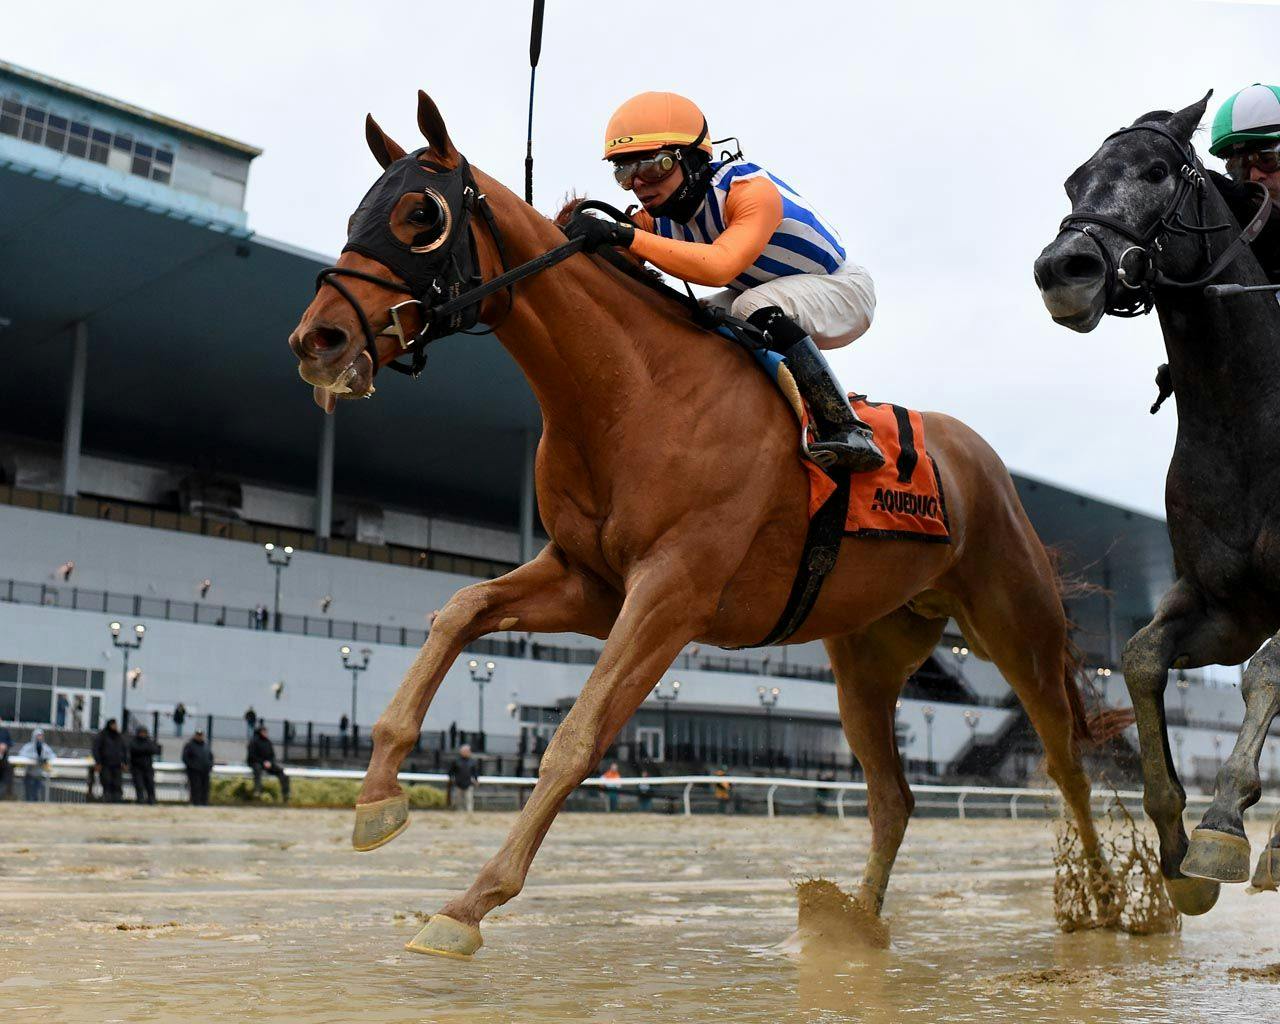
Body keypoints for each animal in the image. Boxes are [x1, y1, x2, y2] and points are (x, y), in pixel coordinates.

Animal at [290, 90, 1100, 962]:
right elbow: (458, 611)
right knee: (893, 798)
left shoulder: (671, 593)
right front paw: (378, 798)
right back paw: (855, 924)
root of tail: (983, 461)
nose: (317, 340)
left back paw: (1111, 906)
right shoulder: (590, 582)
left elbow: (576, 736)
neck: (630, 392)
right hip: (869, 658)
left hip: (1017, 629)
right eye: (357, 212)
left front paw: (468, 905)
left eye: (419, 214)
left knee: (1067, 764)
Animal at [1034, 92, 1274, 916]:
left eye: (1158, 170)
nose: (1062, 269)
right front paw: (1176, 849)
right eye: (1073, 180)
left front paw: (1224, 822)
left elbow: (1262, 675)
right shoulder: (1224, 607)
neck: (1246, 421)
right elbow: (1140, 659)